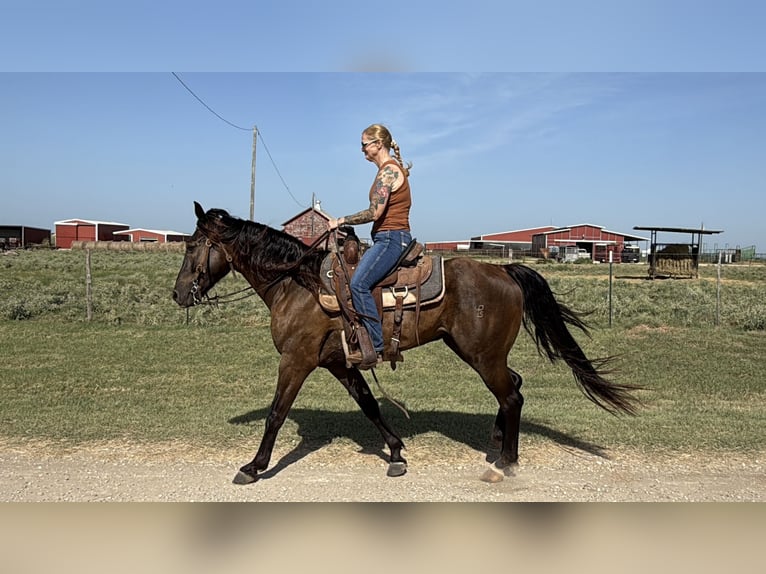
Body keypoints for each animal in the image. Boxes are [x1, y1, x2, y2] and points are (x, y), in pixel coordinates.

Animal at [173, 202, 640, 485]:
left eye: (193, 245)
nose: (178, 294)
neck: (297, 285)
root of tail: (505, 271)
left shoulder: (296, 360)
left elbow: (275, 415)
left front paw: (253, 467)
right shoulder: (339, 363)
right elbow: (369, 405)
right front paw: (396, 453)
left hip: (482, 356)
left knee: (511, 396)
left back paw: (505, 464)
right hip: (477, 351)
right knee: (517, 385)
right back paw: (496, 442)